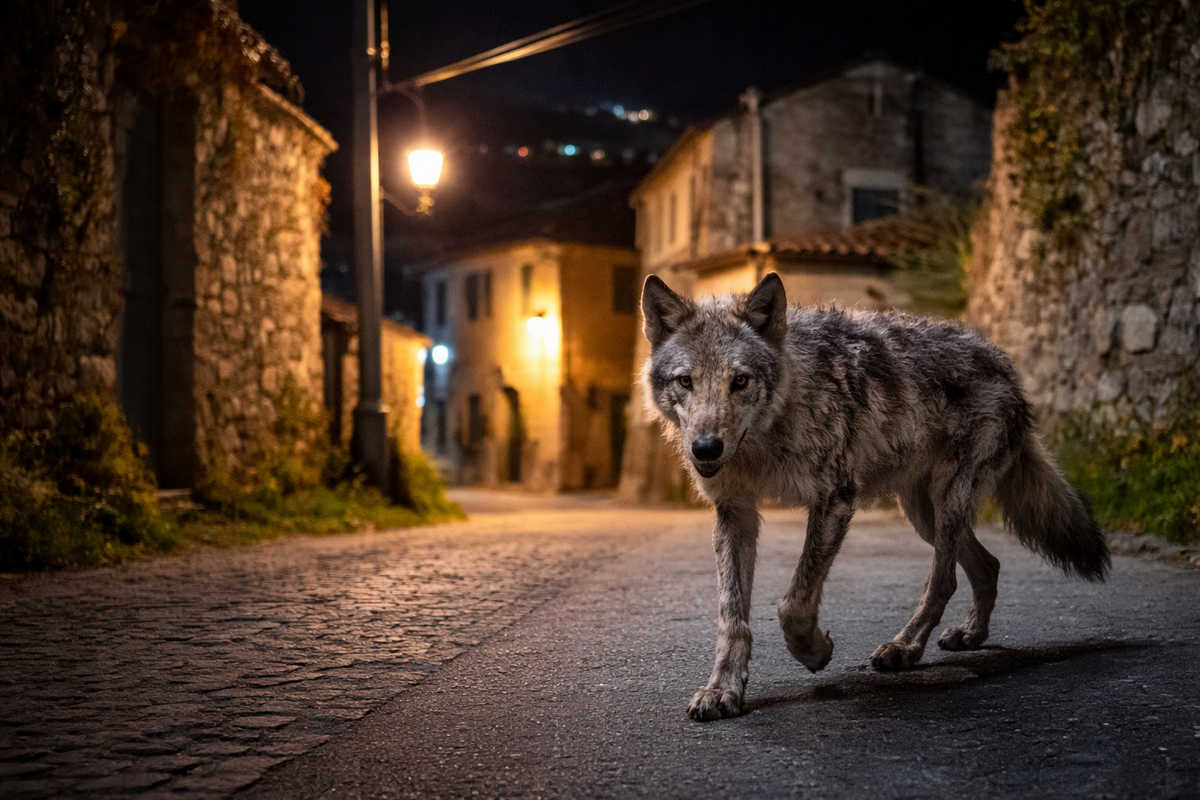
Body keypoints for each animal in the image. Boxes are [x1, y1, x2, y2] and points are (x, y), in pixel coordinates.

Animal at [641, 272, 1109, 722]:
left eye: (740, 381)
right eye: (686, 382)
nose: (705, 449)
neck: (769, 434)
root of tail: (1003, 362)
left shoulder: (834, 500)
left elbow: (793, 603)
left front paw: (815, 652)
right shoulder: (735, 513)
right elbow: (731, 616)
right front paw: (723, 690)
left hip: (946, 503)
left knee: (944, 580)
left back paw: (905, 648)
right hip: (925, 514)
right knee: (988, 565)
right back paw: (970, 635)